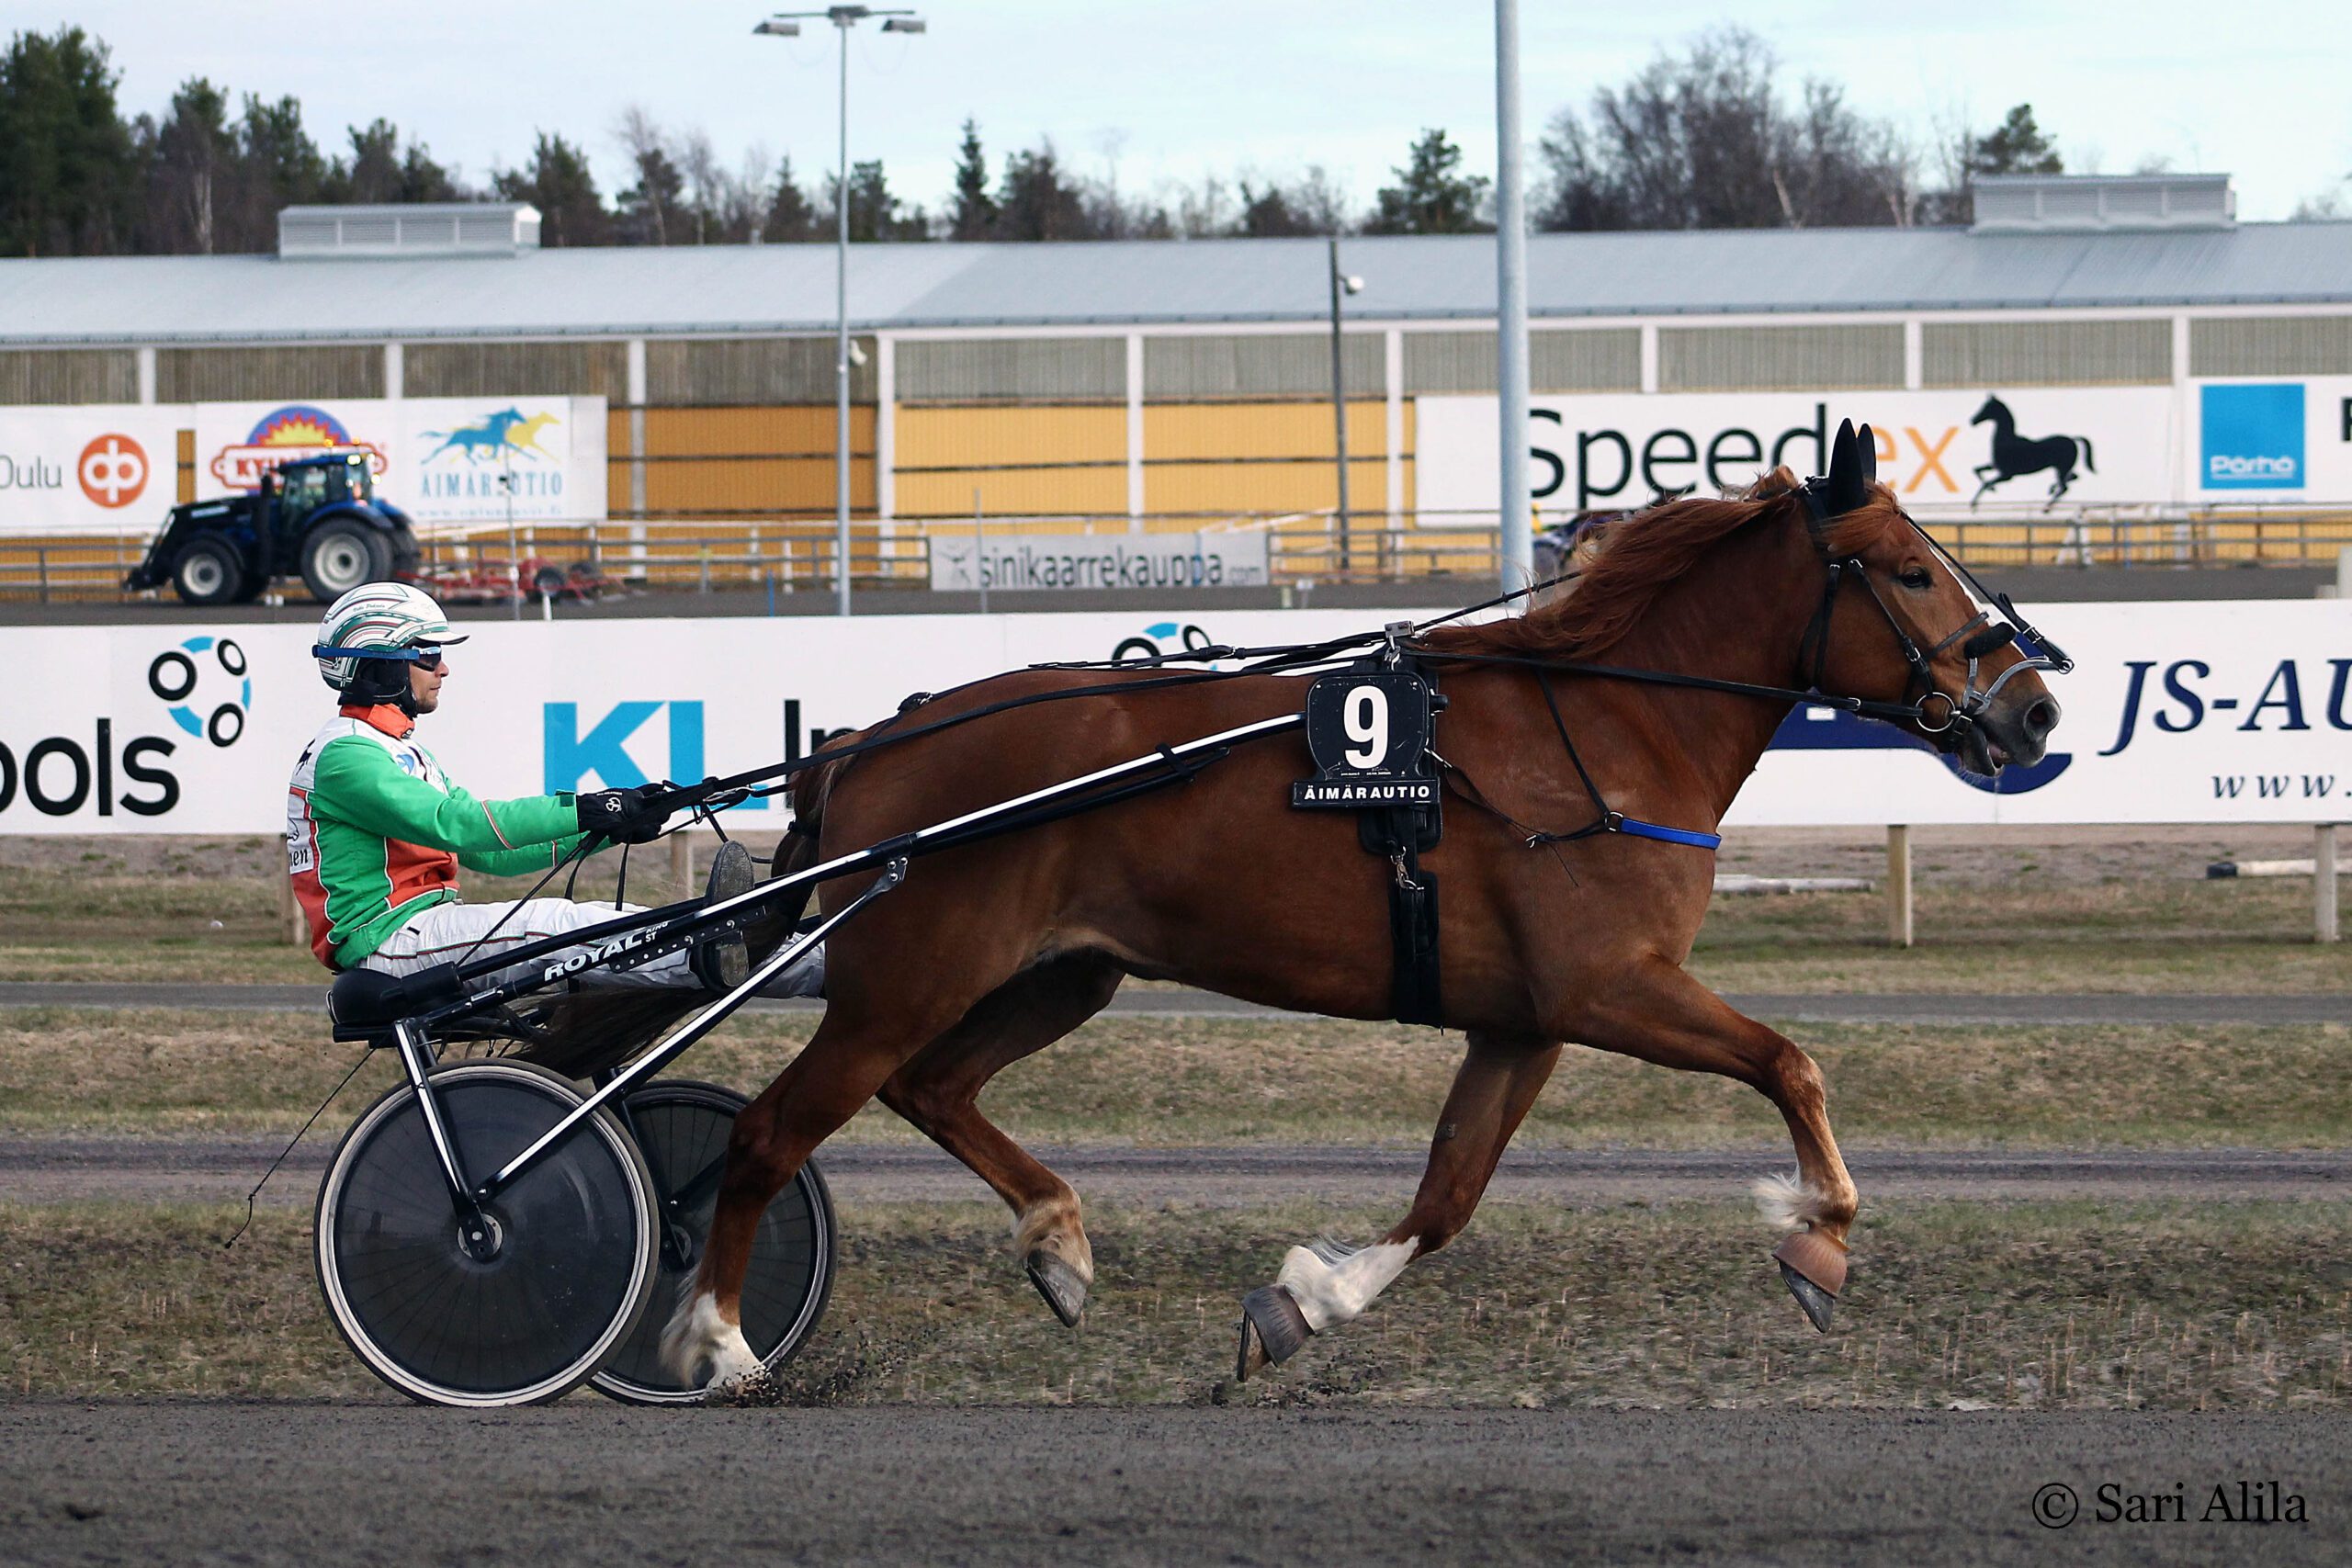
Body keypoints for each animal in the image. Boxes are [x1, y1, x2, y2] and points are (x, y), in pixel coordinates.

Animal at [660, 423, 2065, 1394]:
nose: (2037, 708)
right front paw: (1816, 1238)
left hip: (1055, 973)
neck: (1609, 727)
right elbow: (1791, 1063)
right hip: (906, 976)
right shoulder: (1611, 985)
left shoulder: (1525, 1020)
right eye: (1909, 572)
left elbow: (1449, 1193)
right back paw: (720, 1343)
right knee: (773, 1132)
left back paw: (1058, 1241)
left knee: (934, 1087)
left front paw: (1305, 1305)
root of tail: (866, 739)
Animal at [1970, 395, 2096, 510]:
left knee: (2065, 487)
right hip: (2062, 467)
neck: (2006, 441)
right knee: (2073, 477)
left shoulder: (2007, 475)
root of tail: (2072, 439)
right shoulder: (1996, 467)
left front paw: (1976, 502)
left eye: (1987, 407)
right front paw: (1989, 491)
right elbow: (1976, 470)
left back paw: (2047, 507)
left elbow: (1986, 483)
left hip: (2062, 468)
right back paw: (2051, 489)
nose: (1972, 421)